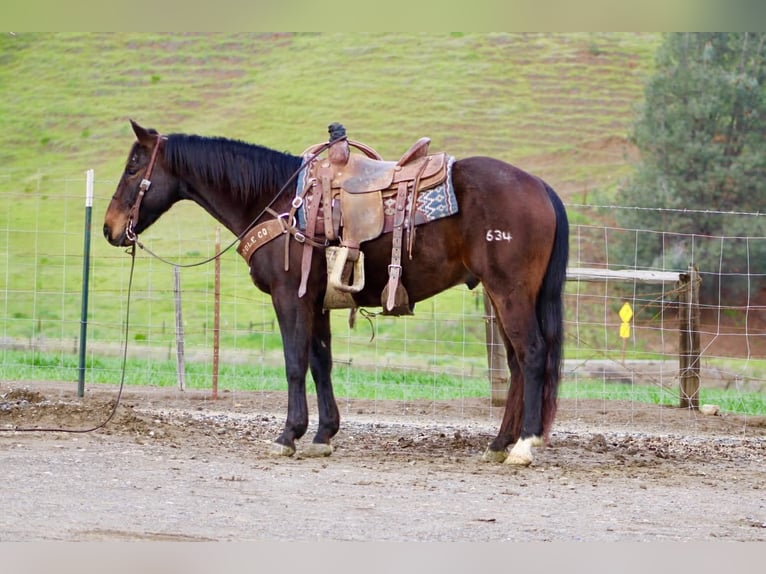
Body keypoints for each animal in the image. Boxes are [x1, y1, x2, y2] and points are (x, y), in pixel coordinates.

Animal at [103, 120, 569, 466]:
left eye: (133, 168)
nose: (109, 228)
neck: (280, 203)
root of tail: (540, 186)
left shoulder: (289, 297)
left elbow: (294, 364)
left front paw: (287, 435)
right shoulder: (317, 302)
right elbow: (320, 363)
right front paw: (323, 435)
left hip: (509, 292)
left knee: (531, 355)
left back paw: (524, 446)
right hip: (500, 295)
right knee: (515, 363)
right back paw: (499, 444)